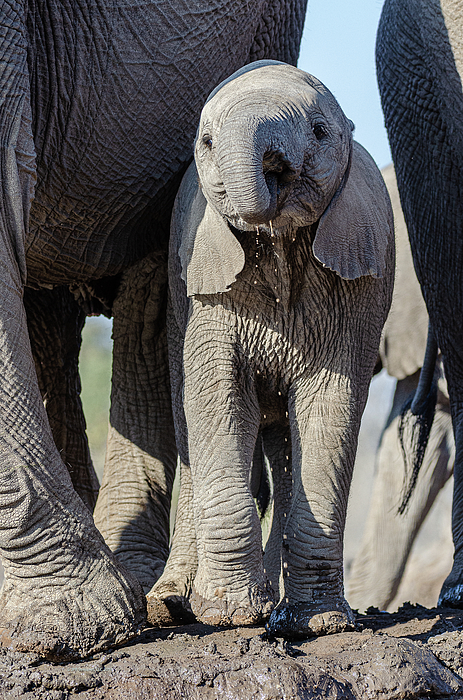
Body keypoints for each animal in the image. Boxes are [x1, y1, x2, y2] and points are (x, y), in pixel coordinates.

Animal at [165, 60, 394, 640]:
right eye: (206, 141)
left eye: (320, 131)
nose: (273, 172)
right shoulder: (209, 292)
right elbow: (217, 398)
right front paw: (228, 614)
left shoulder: (353, 295)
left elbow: (329, 407)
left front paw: (319, 624)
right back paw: (170, 603)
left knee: (286, 443)